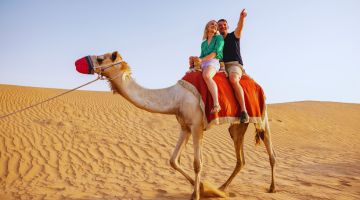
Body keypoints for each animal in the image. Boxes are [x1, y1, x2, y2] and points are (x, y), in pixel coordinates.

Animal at [79, 51, 276, 198]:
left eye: (100, 58)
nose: (80, 63)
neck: (176, 98)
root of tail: (257, 84)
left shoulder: (197, 125)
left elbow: (197, 163)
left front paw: (197, 194)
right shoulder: (185, 127)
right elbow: (173, 160)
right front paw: (202, 188)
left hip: (262, 115)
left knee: (270, 151)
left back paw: (272, 188)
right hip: (237, 126)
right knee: (240, 159)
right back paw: (221, 188)